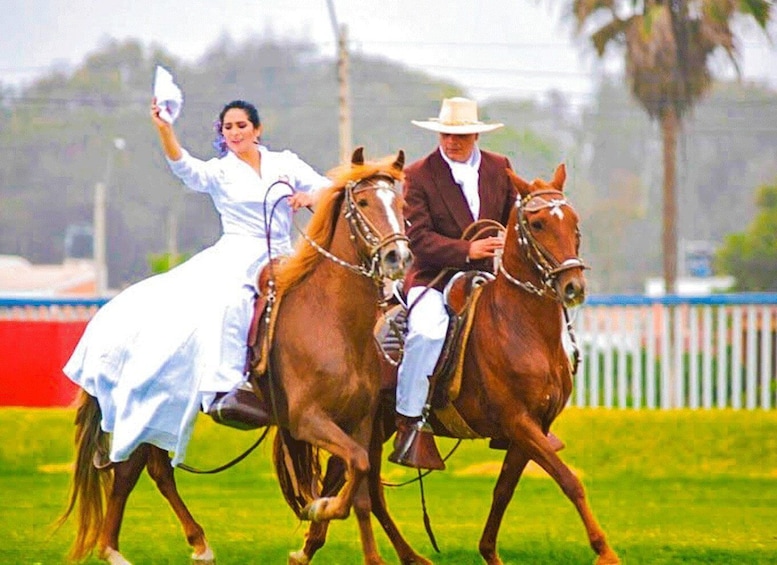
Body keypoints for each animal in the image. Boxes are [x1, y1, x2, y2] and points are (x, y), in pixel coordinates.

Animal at [59, 148, 412, 560]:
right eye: (364, 202)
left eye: (400, 203)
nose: (397, 256)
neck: (332, 321)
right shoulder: (307, 419)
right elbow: (354, 470)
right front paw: (318, 509)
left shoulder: (360, 421)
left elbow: (362, 486)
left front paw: (364, 553)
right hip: (141, 410)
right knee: (130, 471)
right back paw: (116, 551)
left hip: (162, 410)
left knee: (155, 470)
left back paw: (194, 543)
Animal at [288, 164, 620, 564]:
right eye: (537, 223)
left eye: (573, 221)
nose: (573, 286)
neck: (521, 327)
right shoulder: (520, 423)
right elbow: (569, 481)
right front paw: (605, 551)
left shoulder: (531, 430)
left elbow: (503, 492)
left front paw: (489, 552)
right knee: (342, 479)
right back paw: (310, 547)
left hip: (376, 425)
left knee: (368, 489)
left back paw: (408, 555)